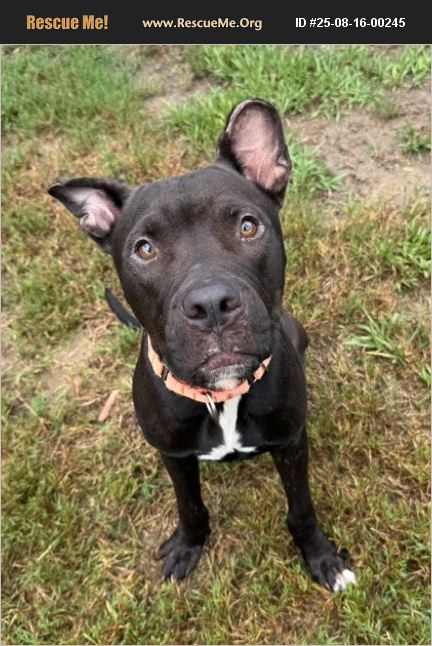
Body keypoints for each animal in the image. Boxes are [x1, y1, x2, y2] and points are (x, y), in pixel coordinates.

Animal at [48, 99, 356, 591]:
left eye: (248, 227)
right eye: (144, 249)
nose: (211, 305)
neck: (219, 396)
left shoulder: (291, 444)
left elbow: (301, 509)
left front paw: (322, 558)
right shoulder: (173, 455)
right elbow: (189, 505)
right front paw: (188, 546)